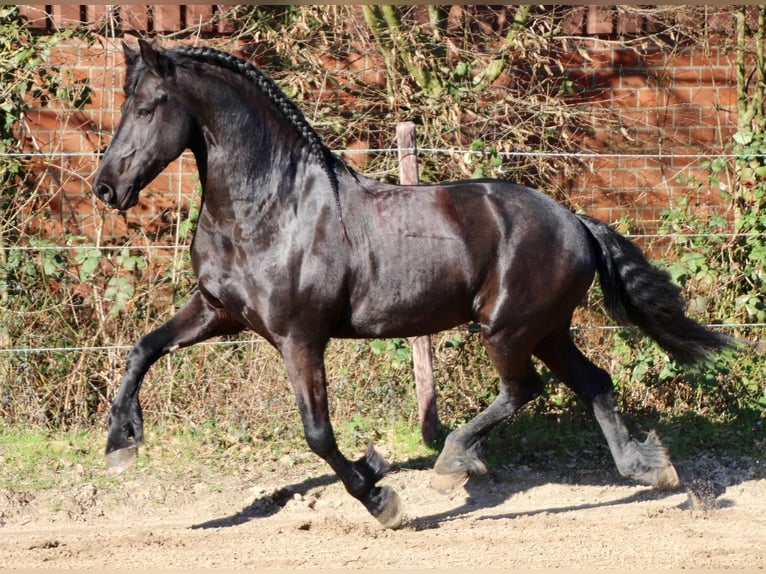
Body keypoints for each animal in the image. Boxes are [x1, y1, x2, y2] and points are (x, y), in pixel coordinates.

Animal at [92, 40, 733, 529]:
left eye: (148, 107)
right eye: (126, 103)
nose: (105, 187)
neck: (271, 207)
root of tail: (577, 222)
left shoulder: (300, 338)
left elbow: (318, 433)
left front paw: (381, 496)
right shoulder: (216, 310)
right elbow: (142, 348)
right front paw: (121, 443)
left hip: (507, 328)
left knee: (525, 389)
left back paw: (453, 462)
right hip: (548, 329)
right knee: (593, 383)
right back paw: (647, 468)